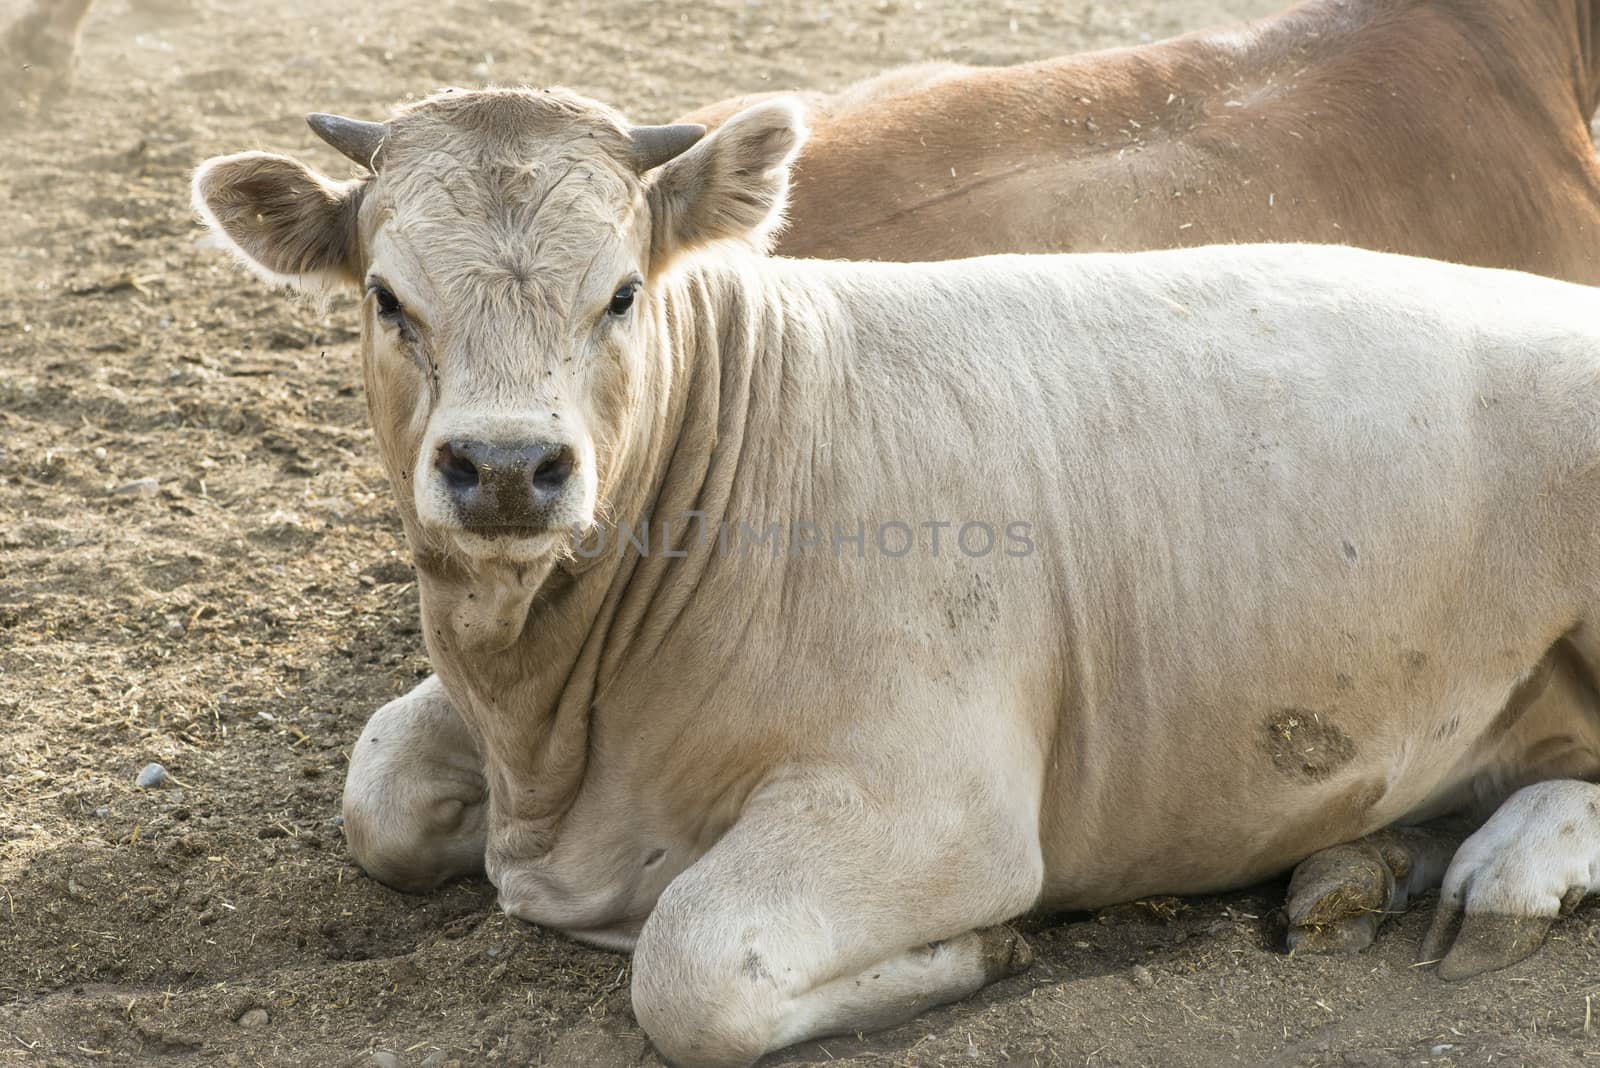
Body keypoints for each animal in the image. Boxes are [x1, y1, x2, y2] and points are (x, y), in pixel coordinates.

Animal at [193, 89, 1600, 1068]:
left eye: (624, 293)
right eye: (386, 298)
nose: (503, 468)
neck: (553, 731)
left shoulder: (939, 804)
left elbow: (692, 966)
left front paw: (977, 949)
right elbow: (377, 788)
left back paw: (1506, 875)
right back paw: (1357, 867)